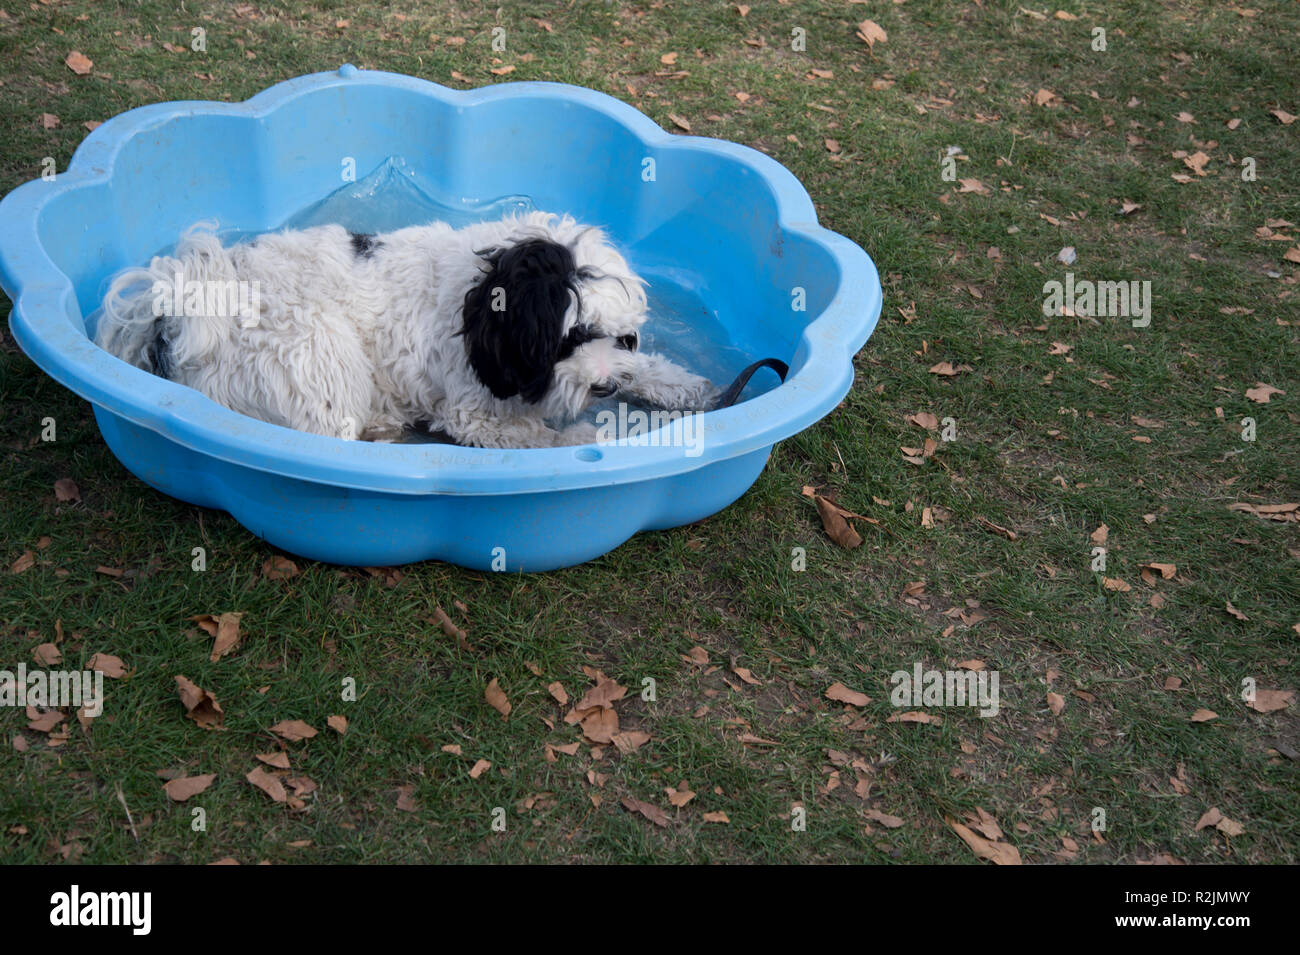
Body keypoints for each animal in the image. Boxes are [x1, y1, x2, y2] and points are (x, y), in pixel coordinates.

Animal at [94, 211, 717, 446]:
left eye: (621, 336)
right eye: (570, 339)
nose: (606, 385)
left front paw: (685, 387)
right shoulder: (471, 409)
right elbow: (538, 436)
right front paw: (591, 437)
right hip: (316, 351)